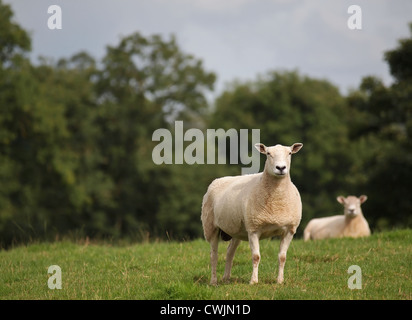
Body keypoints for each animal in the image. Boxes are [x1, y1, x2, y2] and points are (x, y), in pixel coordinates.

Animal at [201, 142, 304, 284]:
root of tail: (216, 180)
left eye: (289, 153)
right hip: (210, 226)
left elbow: (282, 257)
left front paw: (280, 281)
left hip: (236, 230)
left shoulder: (289, 230)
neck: (276, 201)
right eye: (268, 153)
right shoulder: (253, 229)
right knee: (213, 255)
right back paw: (214, 281)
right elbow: (256, 256)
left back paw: (226, 278)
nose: (281, 168)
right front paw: (254, 281)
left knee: (229, 252)